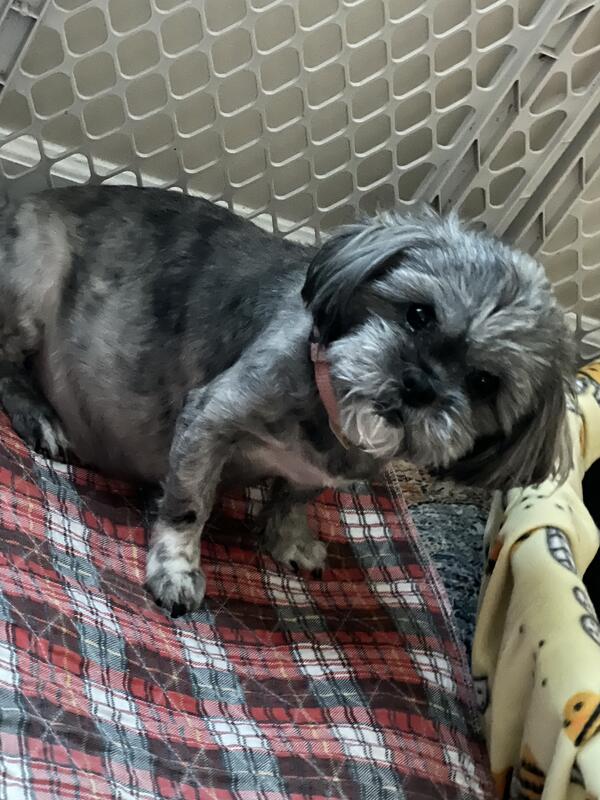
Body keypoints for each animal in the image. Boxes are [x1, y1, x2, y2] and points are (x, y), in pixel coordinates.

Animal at [0, 186, 574, 615]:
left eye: (484, 382)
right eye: (418, 314)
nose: (419, 385)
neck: (334, 413)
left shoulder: (316, 475)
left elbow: (293, 499)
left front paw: (288, 539)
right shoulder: (209, 420)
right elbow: (189, 506)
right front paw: (177, 570)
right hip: (31, 284)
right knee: (6, 368)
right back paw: (42, 418)